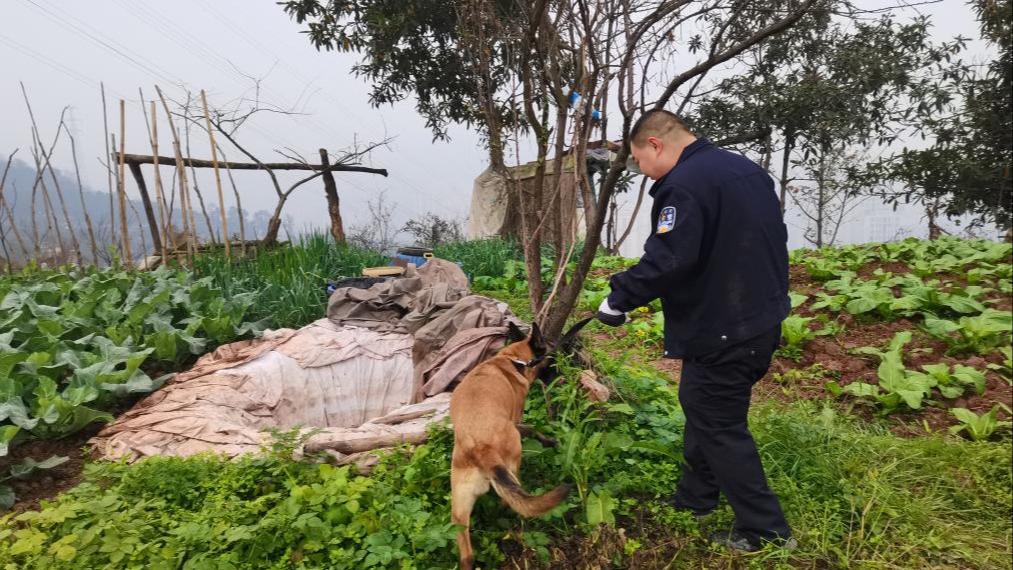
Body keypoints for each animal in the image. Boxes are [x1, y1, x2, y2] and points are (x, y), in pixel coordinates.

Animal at [449, 321, 571, 570]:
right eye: (551, 358)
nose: (560, 374)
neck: (514, 360)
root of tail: (481, 448)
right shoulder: (516, 421)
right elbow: (532, 427)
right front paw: (549, 440)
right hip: (514, 458)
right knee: (511, 501)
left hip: (460, 507)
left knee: (467, 554)